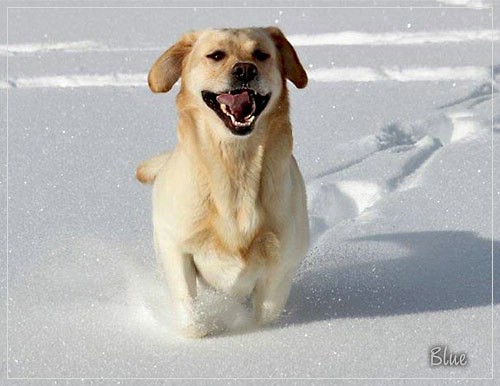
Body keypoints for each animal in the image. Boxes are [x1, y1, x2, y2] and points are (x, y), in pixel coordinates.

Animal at [137, 27, 308, 338]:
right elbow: (191, 317)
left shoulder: (284, 259)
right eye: (216, 55)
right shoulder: (176, 247)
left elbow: (265, 315)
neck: (236, 168)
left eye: (261, 54)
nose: (244, 70)